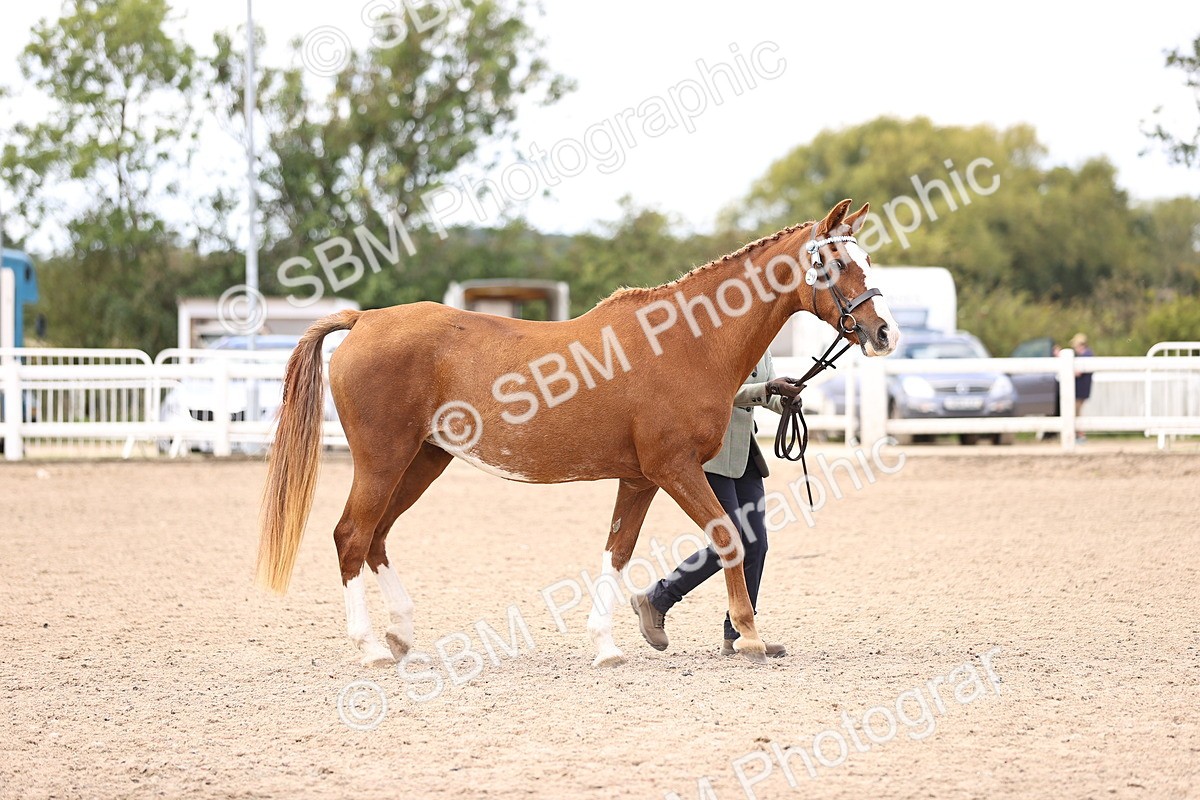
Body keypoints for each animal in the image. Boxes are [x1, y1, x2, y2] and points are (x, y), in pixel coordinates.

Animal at [256, 198, 898, 668]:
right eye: (835, 264)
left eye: (864, 258)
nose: (884, 332)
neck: (684, 342)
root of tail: (362, 319)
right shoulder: (675, 469)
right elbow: (729, 537)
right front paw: (750, 637)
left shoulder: (641, 479)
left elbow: (619, 552)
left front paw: (607, 646)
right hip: (383, 459)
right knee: (351, 536)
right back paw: (370, 648)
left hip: (424, 460)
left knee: (378, 538)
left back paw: (402, 636)